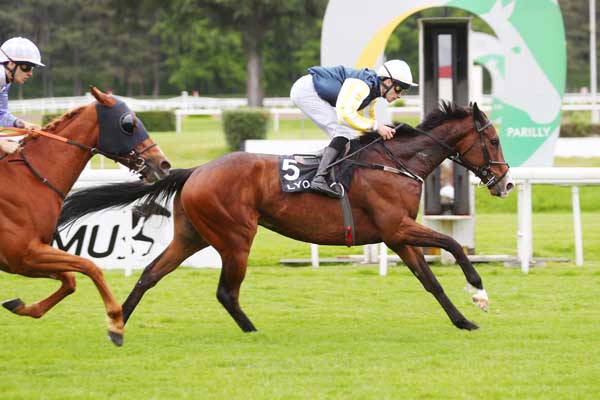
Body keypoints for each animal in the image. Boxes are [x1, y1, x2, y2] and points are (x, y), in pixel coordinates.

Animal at [0, 87, 171, 346]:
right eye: (128, 124)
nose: (163, 163)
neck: (26, 178)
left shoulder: (26, 259)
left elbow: (70, 280)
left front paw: (21, 306)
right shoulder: (23, 254)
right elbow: (91, 266)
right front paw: (115, 323)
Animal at [58, 101, 512, 332]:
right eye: (492, 139)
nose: (505, 183)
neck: (396, 163)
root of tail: (196, 170)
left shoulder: (397, 236)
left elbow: (430, 281)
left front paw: (463, 320)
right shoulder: (397, 227)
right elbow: (452, 244)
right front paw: (479, 291)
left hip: (191, 236)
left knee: (151, 274)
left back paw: (119, 322)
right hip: (235, 237)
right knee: (226, 292)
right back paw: (251, 330)